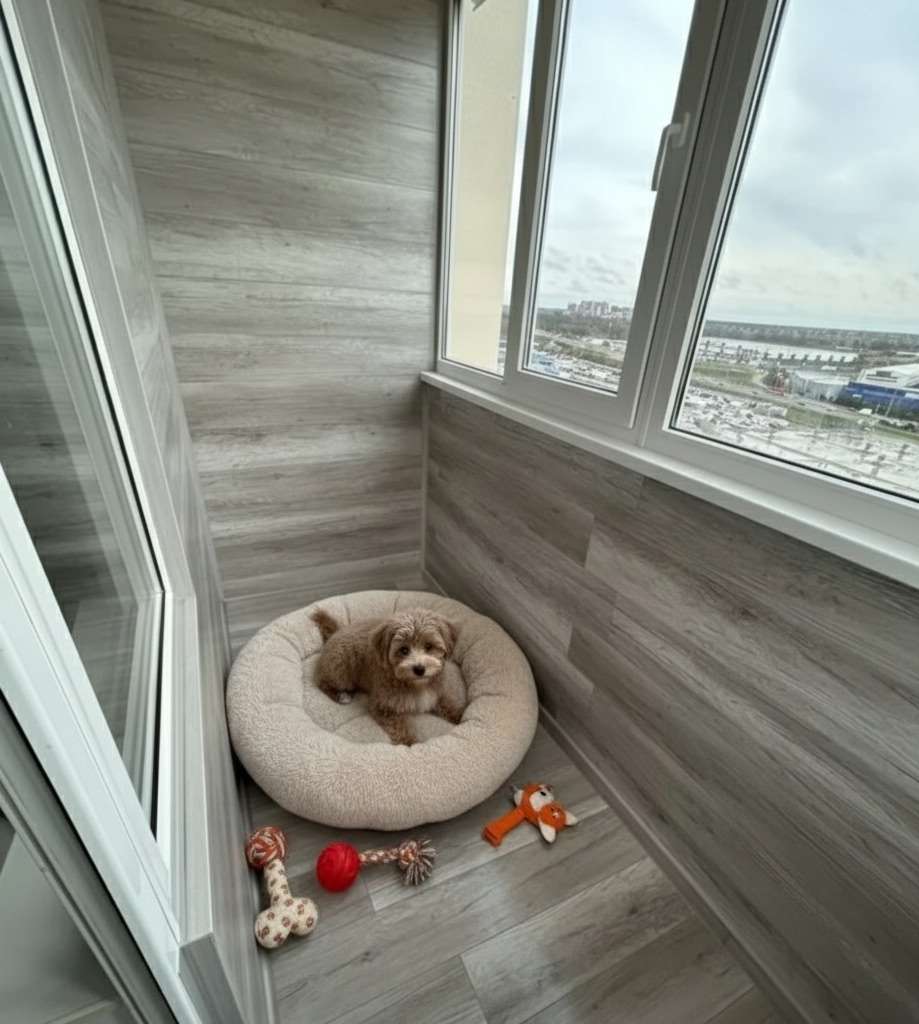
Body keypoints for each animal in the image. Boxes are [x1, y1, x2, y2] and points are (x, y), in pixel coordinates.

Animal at [310, 607, 464, 746]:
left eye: (429, 646)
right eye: (404, 650)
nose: (419, 669)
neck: (416, 683)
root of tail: (337, 631)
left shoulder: (437, 693)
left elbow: (448, 703)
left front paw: (459, 716)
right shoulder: (383, 706)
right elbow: (399, 726)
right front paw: (410, 742)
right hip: (341, 669)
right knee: (323, 682)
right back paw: (341, 695)